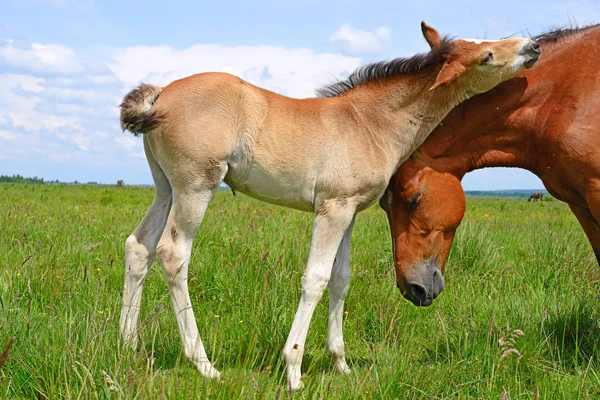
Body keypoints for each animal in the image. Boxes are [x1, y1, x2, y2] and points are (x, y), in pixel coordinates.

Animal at [117, 22, 540, 390]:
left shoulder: (349, 212)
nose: (532, 46)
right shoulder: (332, 210)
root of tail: (162, 92)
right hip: (195, 187)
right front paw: (293, 369)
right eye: (486, 55)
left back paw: (128, 345)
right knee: (173, 253)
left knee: (139, 246)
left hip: (165, 189)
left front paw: (341, 363)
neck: (370, 123)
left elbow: (341, 278)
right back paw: (203, 364)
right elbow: (316, 279)